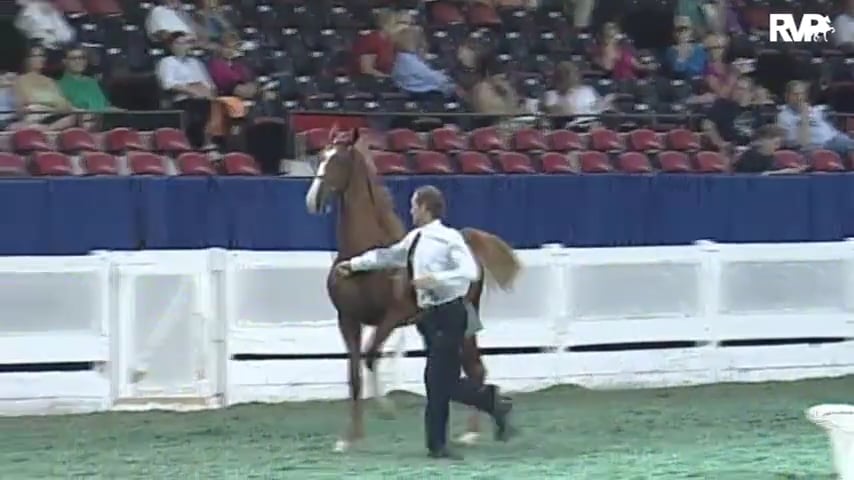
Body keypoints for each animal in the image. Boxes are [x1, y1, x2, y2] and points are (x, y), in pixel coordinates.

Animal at [304, 127, 522, 452]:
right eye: (320, 156)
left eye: (339, 160)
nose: (313, 201)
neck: (363, 255)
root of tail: (468, 243)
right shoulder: (348, 320)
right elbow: (354, 375)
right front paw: (350, 438)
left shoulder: (392, 317)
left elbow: (371, 357)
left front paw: (386, 409)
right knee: (469, 371)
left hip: (463, 327)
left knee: (475, 370)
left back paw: (474, 432)